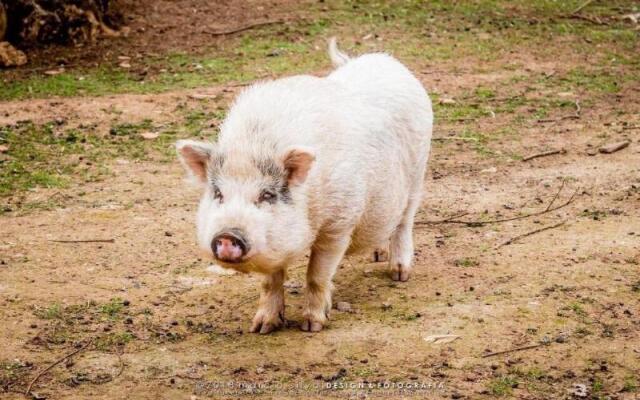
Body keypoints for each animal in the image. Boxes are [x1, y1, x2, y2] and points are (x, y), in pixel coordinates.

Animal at [178, 37, 432, 332]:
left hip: (418, 172)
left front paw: (312, 326)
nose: (228, 235)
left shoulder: (338, 224)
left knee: (404, 222)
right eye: (218, 193)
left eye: (267, 195)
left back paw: (399, 273)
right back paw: (377, 255)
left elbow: (316, 275)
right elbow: (270, 282)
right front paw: (261, 328)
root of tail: (386, 60)